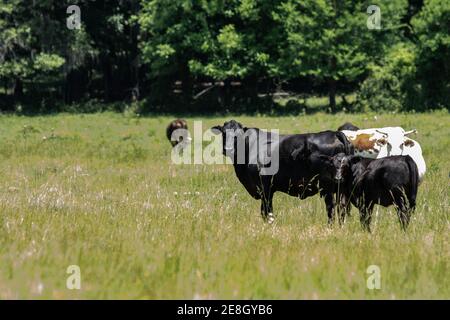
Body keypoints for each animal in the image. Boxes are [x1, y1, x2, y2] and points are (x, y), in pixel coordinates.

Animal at [213, 119, 354, 222]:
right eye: (224, 133)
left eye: (238, 135)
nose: (228, 149)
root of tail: (334, 133)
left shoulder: (265, 188)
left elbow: (266, 212)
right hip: (340, 188)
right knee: (342, 208)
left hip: (327, 187)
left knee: (331, 207)